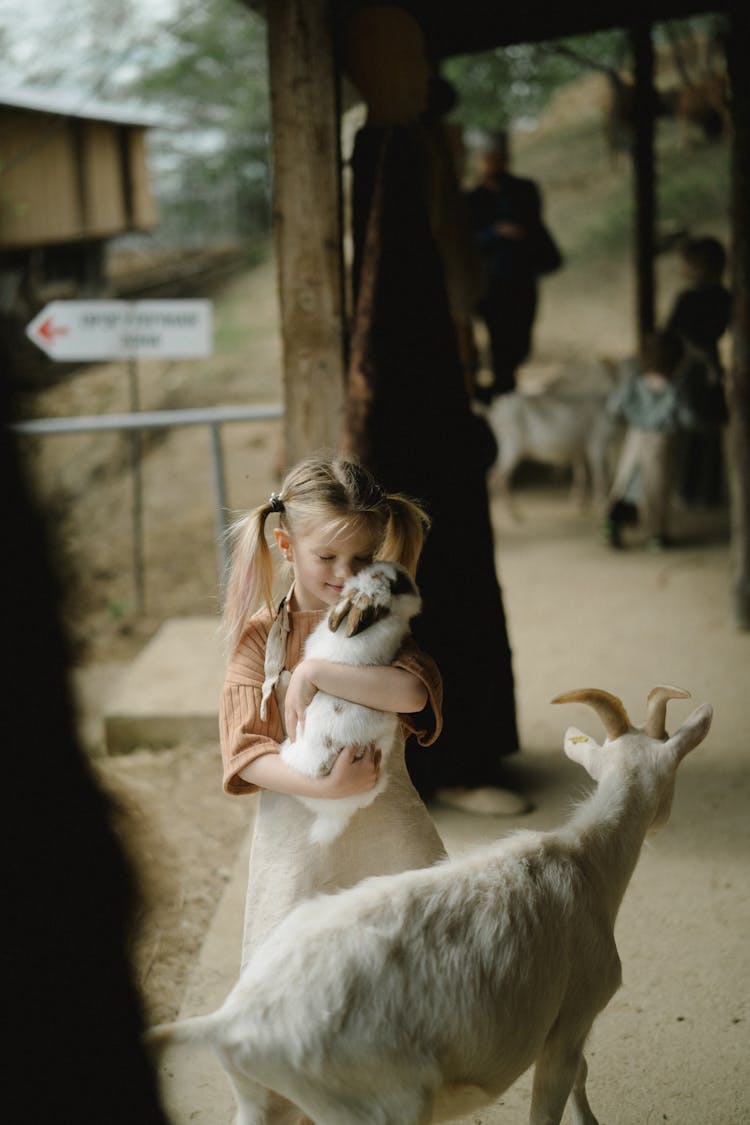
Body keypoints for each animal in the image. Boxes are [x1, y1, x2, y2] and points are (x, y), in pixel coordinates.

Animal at [145, 684, 710, 1125]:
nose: (661, 821)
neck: (587, 859)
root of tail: (232, 1020)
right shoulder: (571, 1017)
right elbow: (562, 1091)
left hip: (261, 1099)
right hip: (378, 1104)